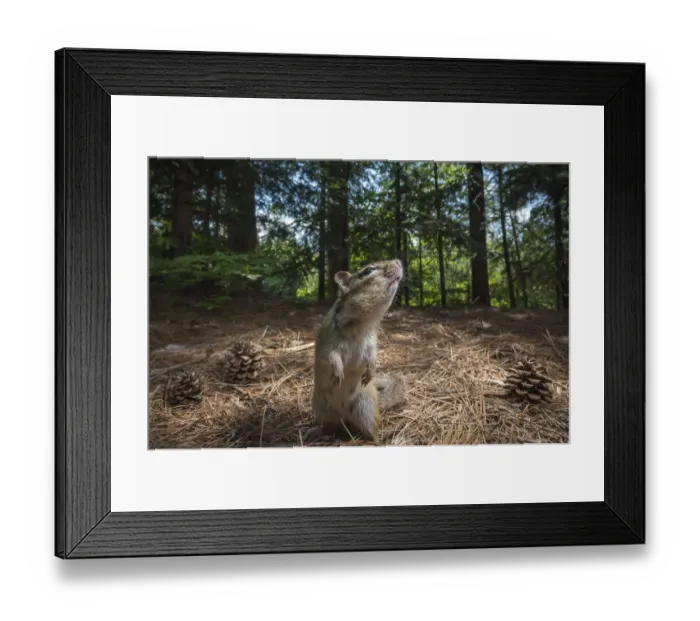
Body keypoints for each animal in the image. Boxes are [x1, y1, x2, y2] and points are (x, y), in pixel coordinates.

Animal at [312, 259, 407, 442]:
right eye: (367, 270)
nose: (398, 261)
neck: (362, 323)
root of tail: (344, 415)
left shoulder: (371, 343)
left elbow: (372, 356)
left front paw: (370, 370)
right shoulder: (327, 344)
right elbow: (331, 356)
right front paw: (338, 372)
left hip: (365, 408)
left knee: (371, 431)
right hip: (322, 410)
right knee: (332, 427)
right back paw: (318, 432)